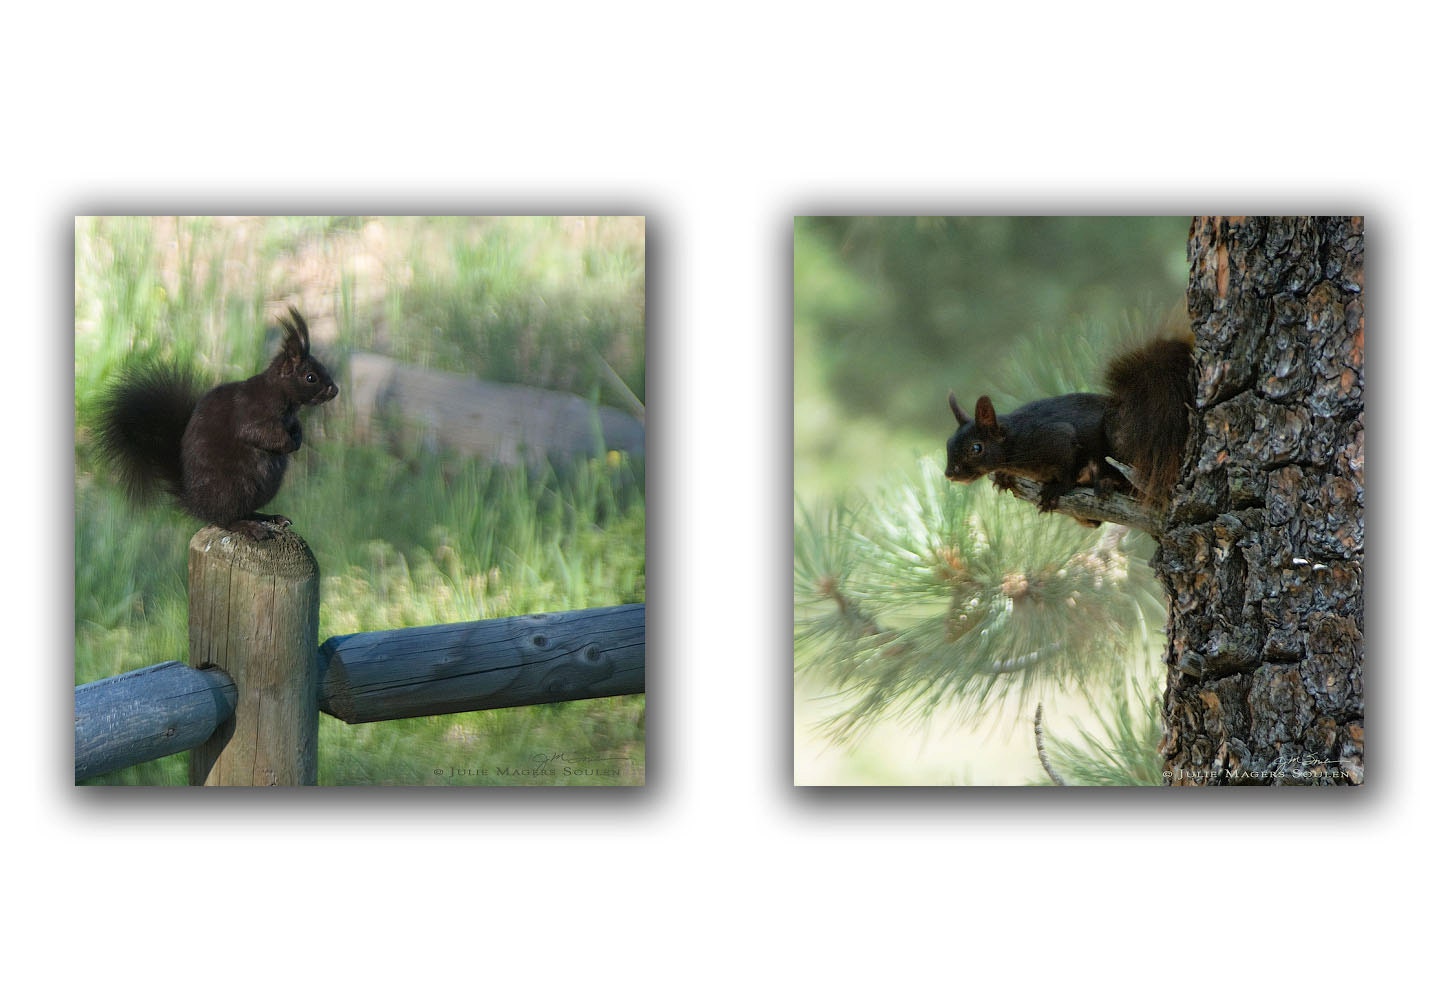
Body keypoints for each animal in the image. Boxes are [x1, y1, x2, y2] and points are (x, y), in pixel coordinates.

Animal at [96, 306, 339, 541]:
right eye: (310, 377)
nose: (335, 390)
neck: (280, 396)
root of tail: (196, 503)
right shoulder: (251, 412)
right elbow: (257, 433)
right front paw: (288, 444)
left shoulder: (289, 418)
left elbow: (295, 427)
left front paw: (297, 438)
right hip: (232, 489)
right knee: (225, 520)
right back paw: (250, 527)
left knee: (245, 512)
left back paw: (271, 518)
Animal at [944, 324, 1195, 515]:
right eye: (948, 443)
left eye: (976, 448)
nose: (950, 474)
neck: (1013, 440)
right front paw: (1003, 476)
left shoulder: (1056, 438)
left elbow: (1068, 469)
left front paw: (1055, 490)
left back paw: (1106, 482)